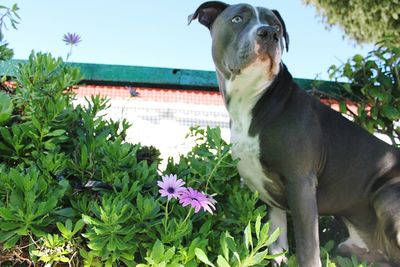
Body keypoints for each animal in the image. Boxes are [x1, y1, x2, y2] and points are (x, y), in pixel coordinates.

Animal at [188, 2, 400, 267]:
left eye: (277, 26)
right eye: (237, 19)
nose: (269, 33)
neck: (251, 99)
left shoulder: (301, 184)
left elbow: (308, 249)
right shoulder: (271, 197)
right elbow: (276, 242)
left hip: (387, 194)